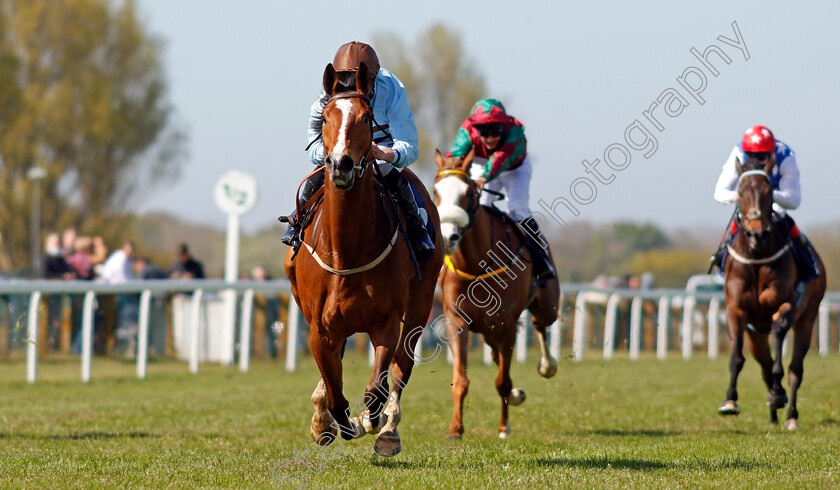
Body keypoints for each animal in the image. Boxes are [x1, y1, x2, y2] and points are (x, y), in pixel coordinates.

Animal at [286, 63, 446, 458]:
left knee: (402, 368)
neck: (347, 250)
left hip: (421, 305)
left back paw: (388, 429)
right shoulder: (319, 328)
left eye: (366, 117)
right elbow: (335, 391)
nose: (340, 163)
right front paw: (329, 422)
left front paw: (372, 421)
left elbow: (378, 386)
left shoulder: (386, 322)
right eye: (326, 117)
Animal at [434, 150, 556, 440]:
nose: (447, 237)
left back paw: (547, 366)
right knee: (495, 352)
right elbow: (461, 379)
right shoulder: (456, 321)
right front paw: (455, 430)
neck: (476, 265)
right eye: (435, 191)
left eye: (467, 192)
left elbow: (502, 380)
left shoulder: (507, 324)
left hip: (547, 306)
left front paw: (504, 427)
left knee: (541, 324)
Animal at [716, 157, 828, 428]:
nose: (757, 233)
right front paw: (730, 401)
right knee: (764, 365)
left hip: (807, 317)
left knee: (795, 369)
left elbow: (779, 343)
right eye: (740, 192)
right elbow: (737, 358)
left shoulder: (785, 305)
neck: (757, 257)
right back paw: (773, 418)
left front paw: (778, 395)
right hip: (755, 334)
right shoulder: (736, 310)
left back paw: (790, 416)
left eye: (769, 192)